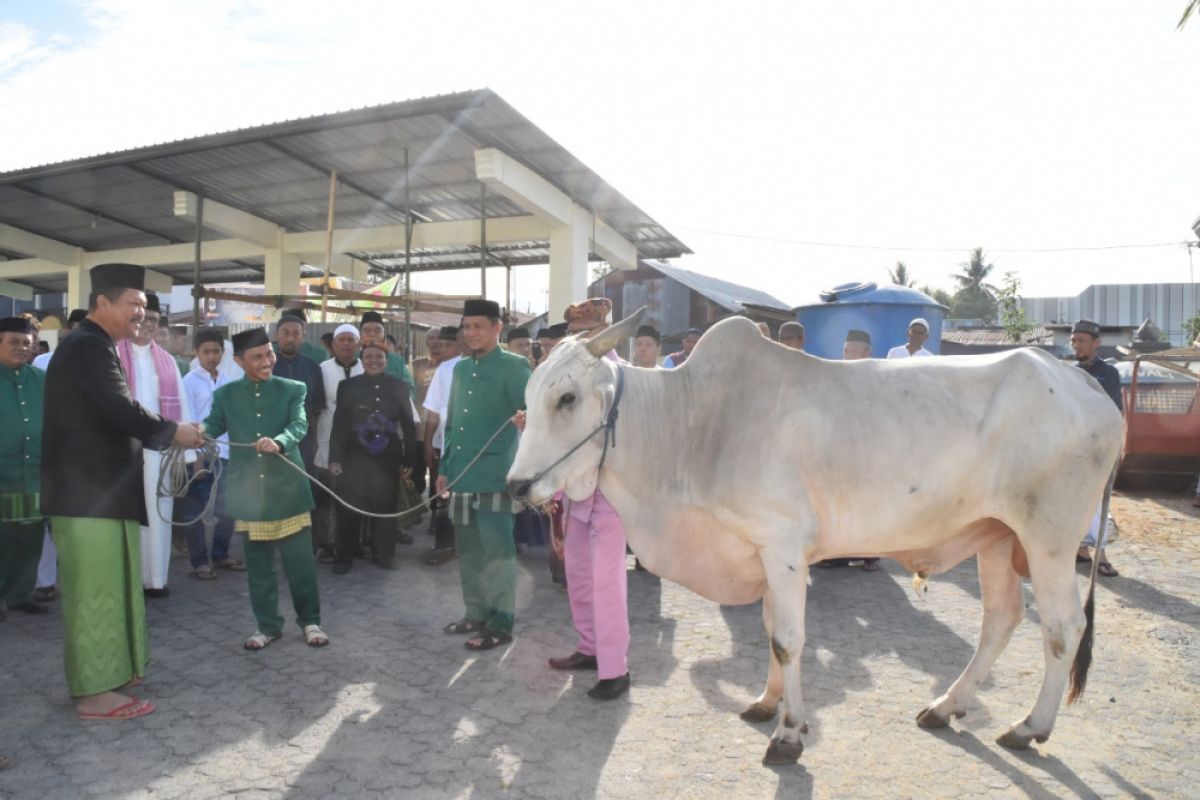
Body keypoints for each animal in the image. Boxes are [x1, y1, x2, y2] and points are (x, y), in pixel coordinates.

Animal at [506, 309, 1123, 767]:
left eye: (566, 399)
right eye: (529, 396)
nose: (516, 485)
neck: (698, 424)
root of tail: (1084, 382)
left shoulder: (781, 546)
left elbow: (788, 638)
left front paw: (789, 734)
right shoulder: (764, 553)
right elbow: (769, 629)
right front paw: (766, 703)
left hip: (1048, 539)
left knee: (1064, 627)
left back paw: (1029, 726)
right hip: (997, 537)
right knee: (1001, 618)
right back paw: (947, 706)